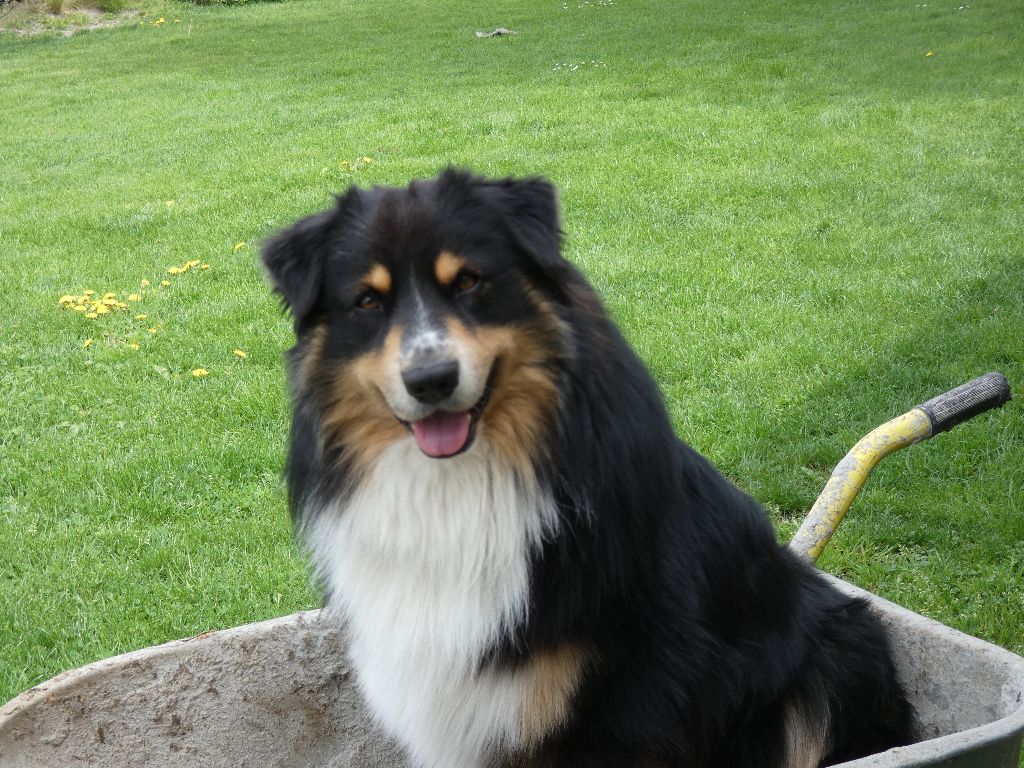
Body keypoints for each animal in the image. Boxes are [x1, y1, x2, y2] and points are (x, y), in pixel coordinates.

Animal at [262, 169, 913, 768]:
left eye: (469, 281)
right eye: (367, 301)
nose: (430, 381)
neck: (462, 481)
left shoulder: (626, 708)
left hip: (840, 653)